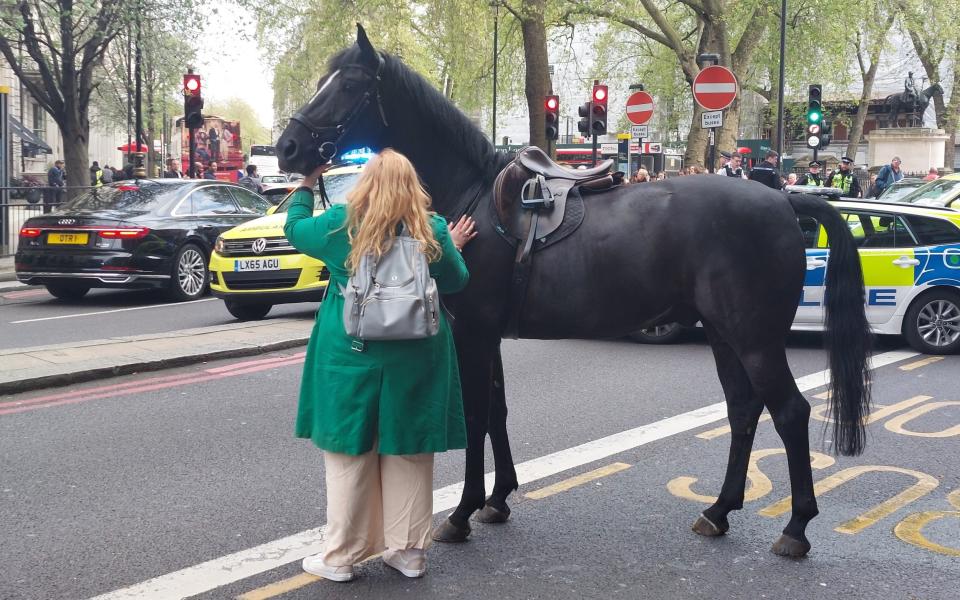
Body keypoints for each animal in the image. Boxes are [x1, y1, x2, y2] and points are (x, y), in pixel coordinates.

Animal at [276, 23, 872, 556]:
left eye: (350, 85)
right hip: (725, 335)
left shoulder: (473, 332)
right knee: (745, 411)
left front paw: (462, 513)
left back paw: (796, 527)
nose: (288, 147)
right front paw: (498, 500)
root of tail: (783, 198)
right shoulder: (489, 334)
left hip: (755, 338)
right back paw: (720, 510)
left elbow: (475, 416)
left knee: (790, 412)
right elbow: (497, 411)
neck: (475, 194)